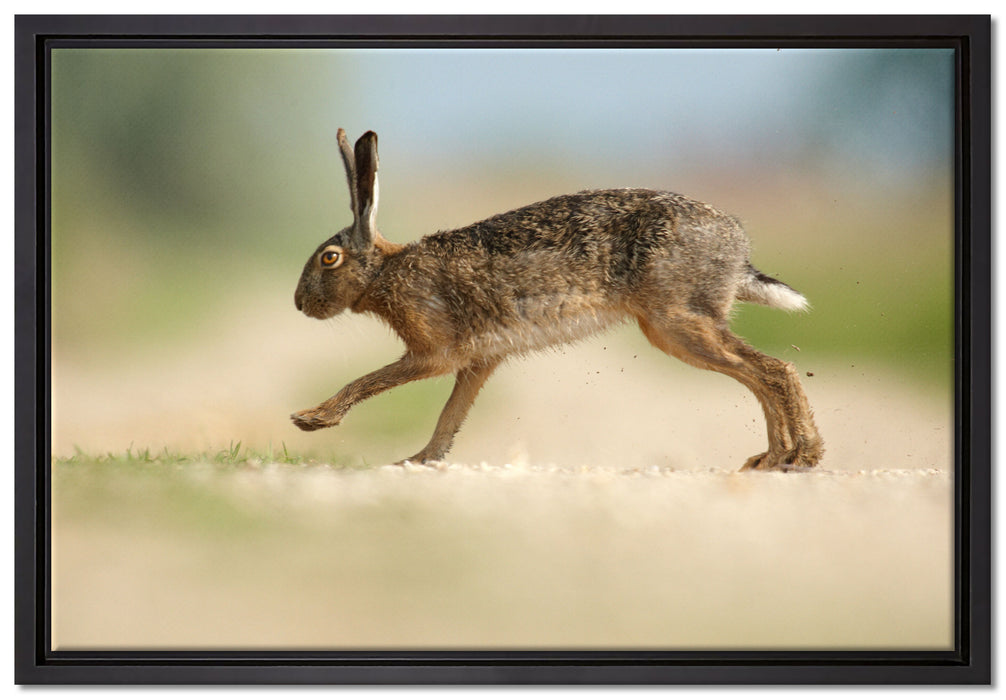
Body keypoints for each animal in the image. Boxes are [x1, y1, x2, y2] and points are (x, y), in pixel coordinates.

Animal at [292, 129, 823, 471]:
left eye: (329, 259)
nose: (299, 304)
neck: (384, 272)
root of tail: (737, 247)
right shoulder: (479, 361)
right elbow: (450, 416)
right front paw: (419, 460)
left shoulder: (435, 352)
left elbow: (372, 380)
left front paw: (311, 419)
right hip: (681, 326)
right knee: (758, 374)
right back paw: (771, 458)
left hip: (676, 322)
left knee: (774, 371)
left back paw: (799, 456)